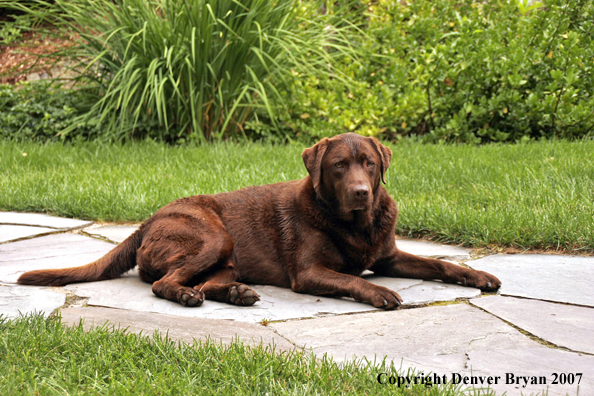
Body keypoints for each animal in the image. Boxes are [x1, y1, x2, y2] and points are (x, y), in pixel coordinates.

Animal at [18, 133, 498, 310]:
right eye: (339, 166)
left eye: (369, 164)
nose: (361, 192)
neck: (354, 224)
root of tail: (149, 219)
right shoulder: (309, 273)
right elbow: (352, 279)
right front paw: (379, 293)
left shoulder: (388, 256)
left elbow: (439, 264)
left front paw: (479, 276)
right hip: (213, 237)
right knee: (164, 283)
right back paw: (192, 297)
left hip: (226, 255)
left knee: (205, 281)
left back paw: (235, 293)